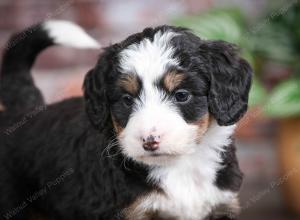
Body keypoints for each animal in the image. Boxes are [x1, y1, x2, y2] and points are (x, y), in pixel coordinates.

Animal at [0, 20, 252, 220]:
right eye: (127, 99)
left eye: (182, 95)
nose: (149, 141)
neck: (179, 166)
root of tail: (24, 110)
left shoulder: (222, 204)